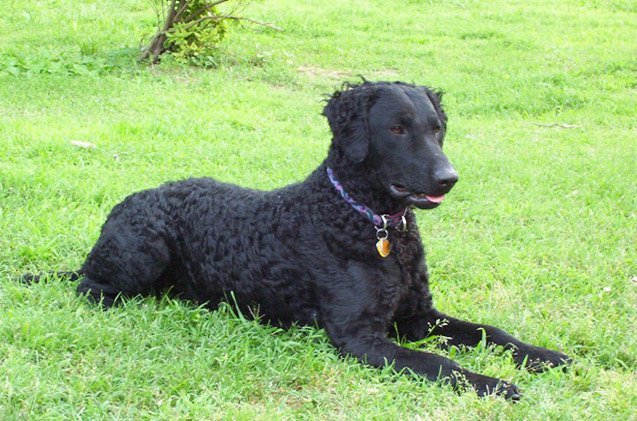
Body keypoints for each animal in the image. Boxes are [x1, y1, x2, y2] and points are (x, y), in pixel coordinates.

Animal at [28, 81, 568, 398]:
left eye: (437, 129)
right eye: (397, 128)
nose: (448, 178)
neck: (365, 220)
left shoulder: (419, 316)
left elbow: (491, 333)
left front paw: (545, 356)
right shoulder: (361, 338)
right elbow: (440, 363)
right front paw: (494, 384)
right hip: (143, 251)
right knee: (91, 289)